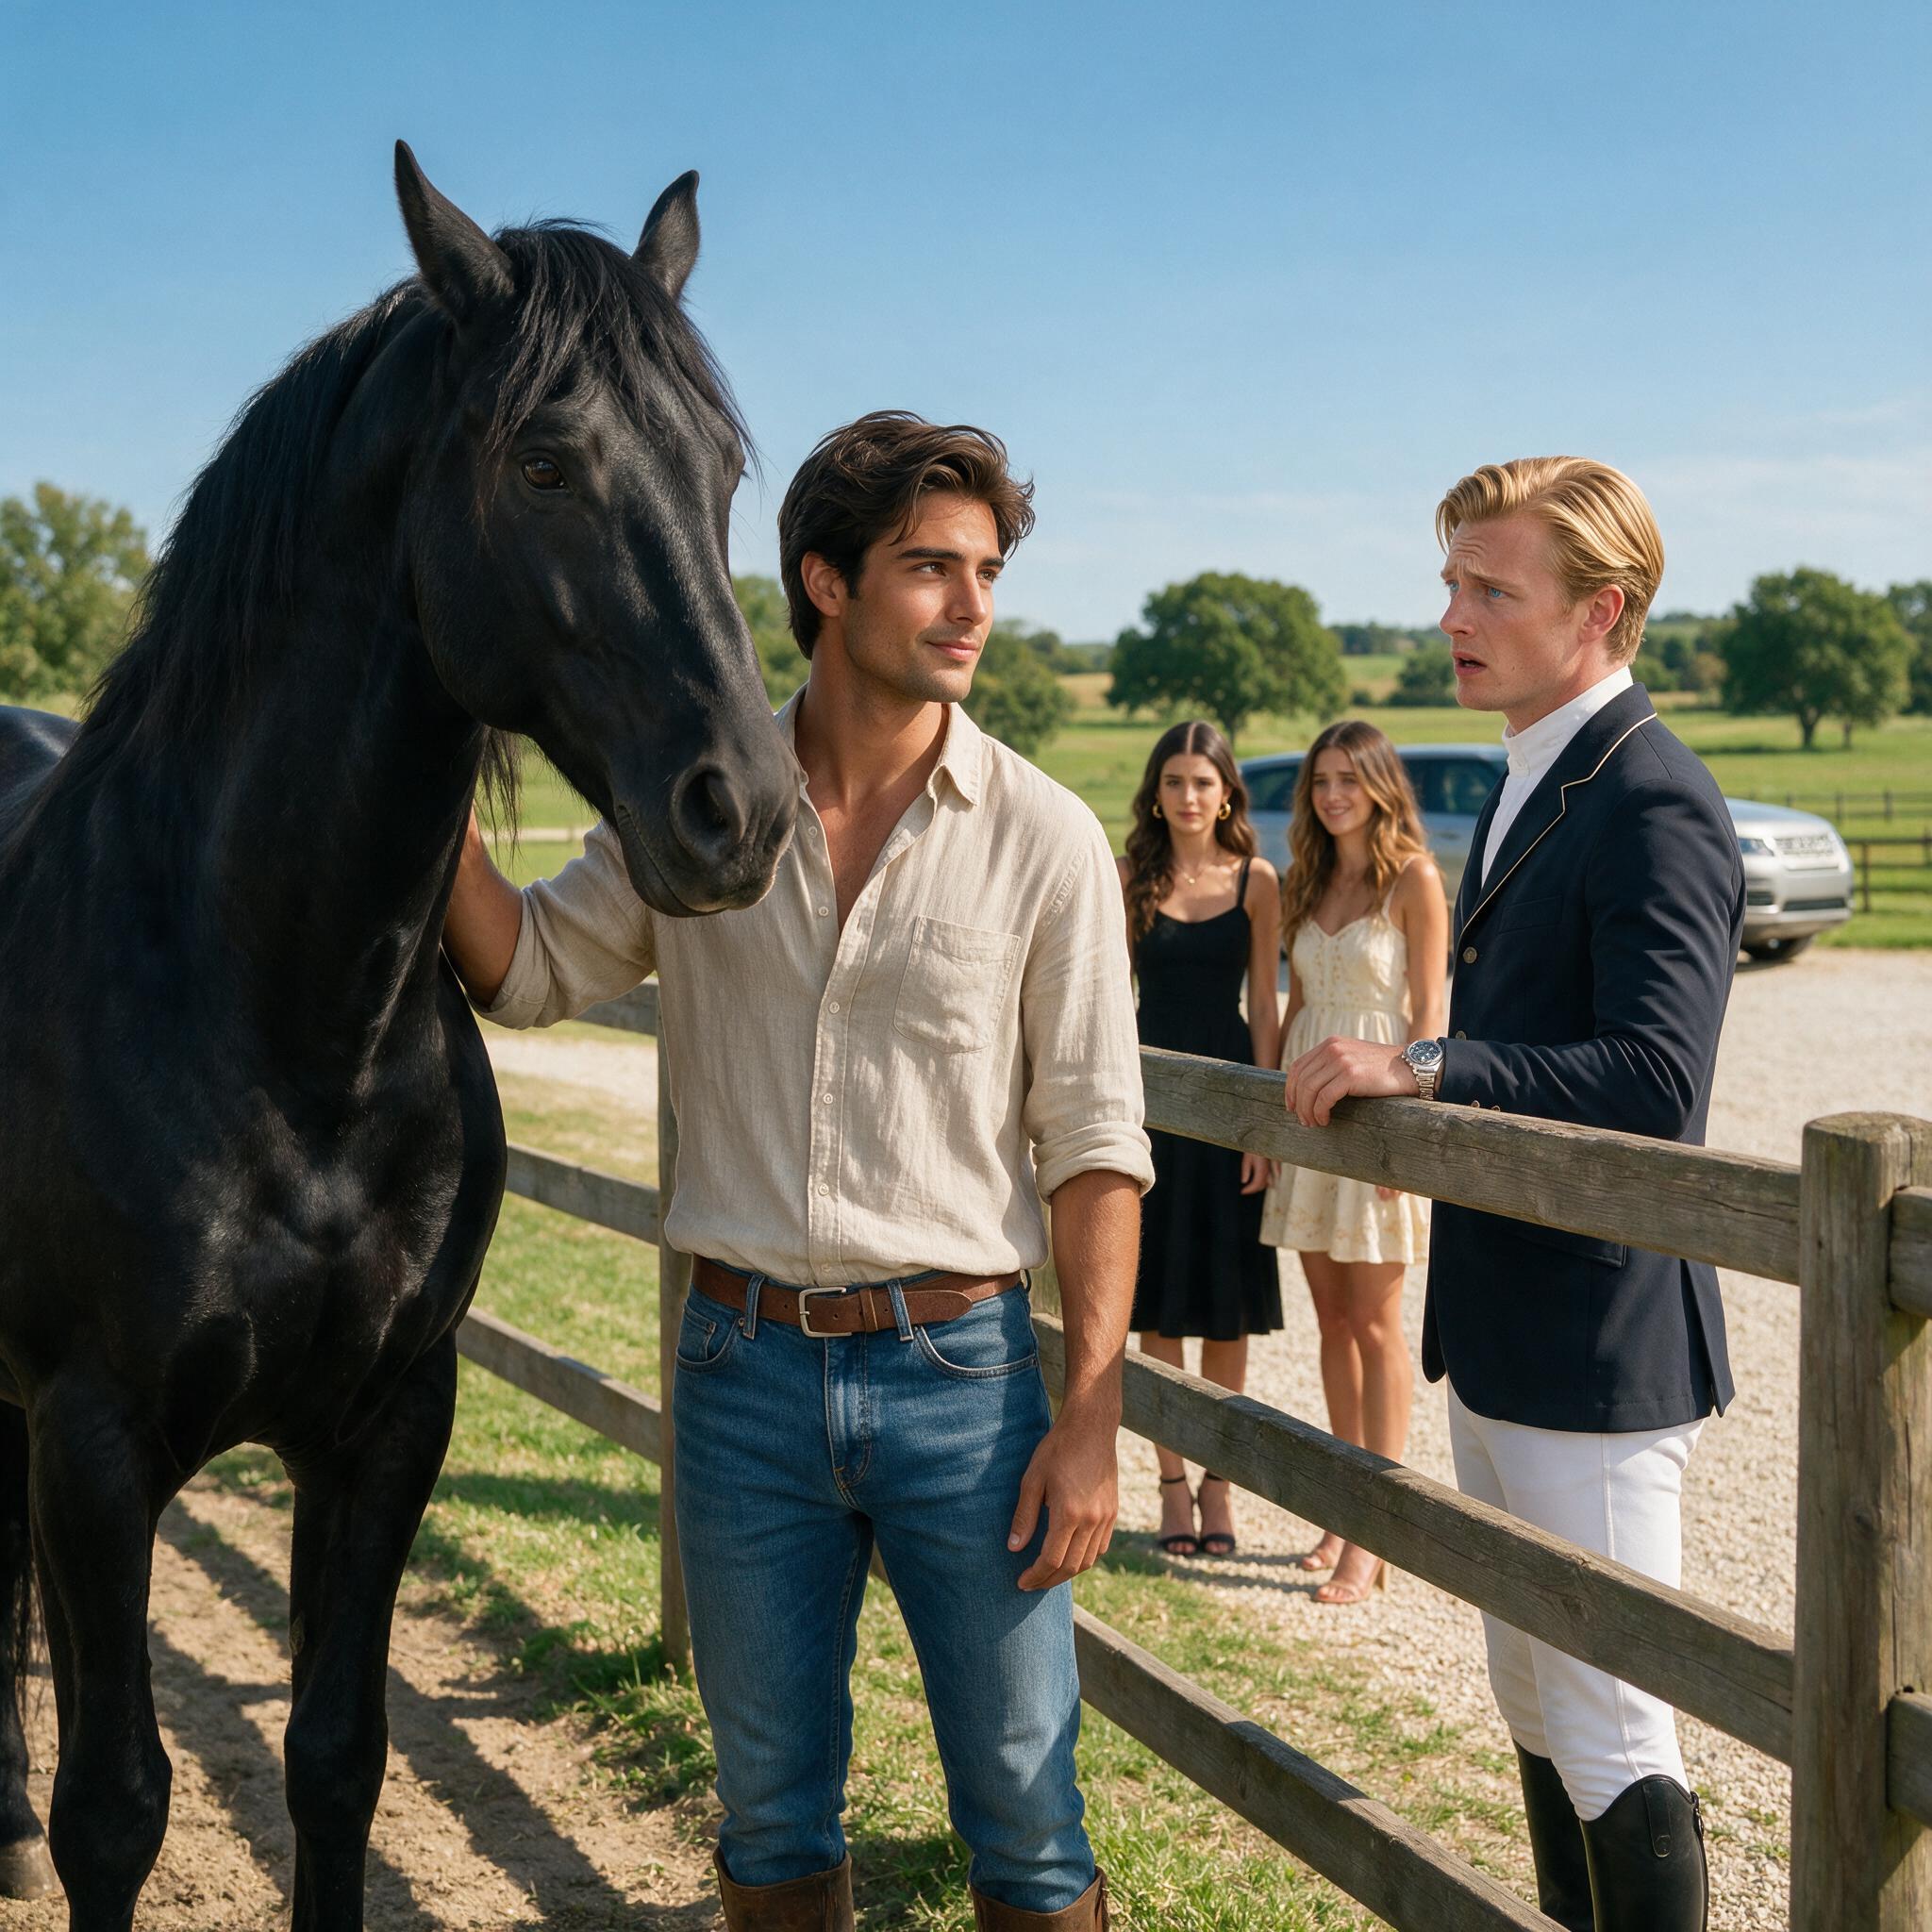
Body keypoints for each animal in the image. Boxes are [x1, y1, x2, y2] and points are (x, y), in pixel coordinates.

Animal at [0, 143, 796, 1931]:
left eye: (723, 467)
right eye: (544, 457)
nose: (746, 810)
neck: (284, 1024)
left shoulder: (384, 1428)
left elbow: (335, 1761)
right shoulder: (90, 1444)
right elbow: (116, 1808)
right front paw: (62, 1820)